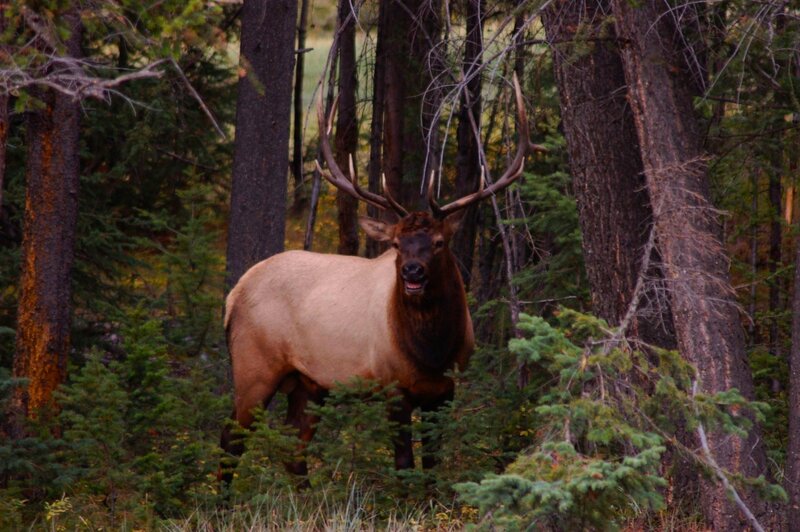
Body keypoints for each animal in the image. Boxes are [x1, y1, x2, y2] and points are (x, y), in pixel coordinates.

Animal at [220, 74, 530, 480]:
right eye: (396, 244)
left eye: (439, 242)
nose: (412, 271)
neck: (432, 352)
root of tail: (233, 294)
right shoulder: (391, 387)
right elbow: (404, 464)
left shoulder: (446, 389)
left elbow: (432, 464)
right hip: (253, 366)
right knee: (230, 440)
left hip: (309, 384)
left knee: (293, 448)